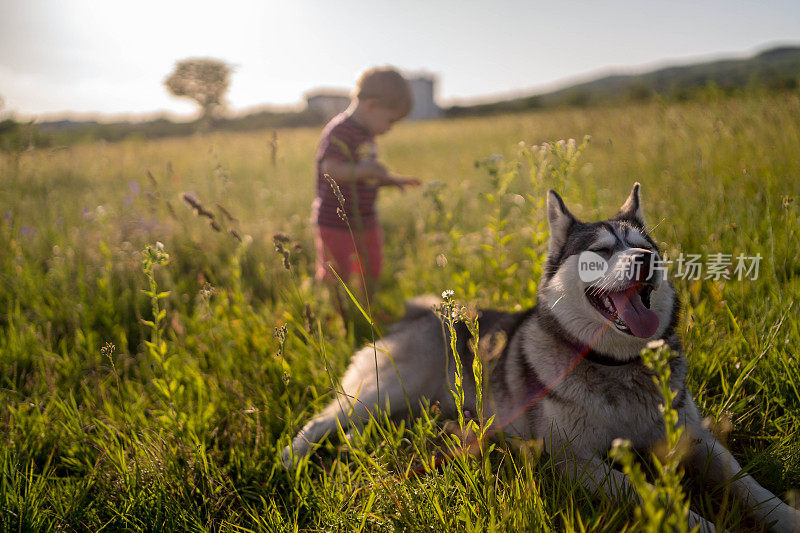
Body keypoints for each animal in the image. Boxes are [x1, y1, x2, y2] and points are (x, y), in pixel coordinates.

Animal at [286, 184, 800, 532]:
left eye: (646, 246)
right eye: (600, 251)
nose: (644, 261)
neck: (619, 367)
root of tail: (419, 310)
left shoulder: (696, 439)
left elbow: (749, 485)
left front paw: (785, 516)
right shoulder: (575, 460)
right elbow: (658, 495)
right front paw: (708, 527)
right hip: (381, 391)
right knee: (323, 419)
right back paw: (290, 458)